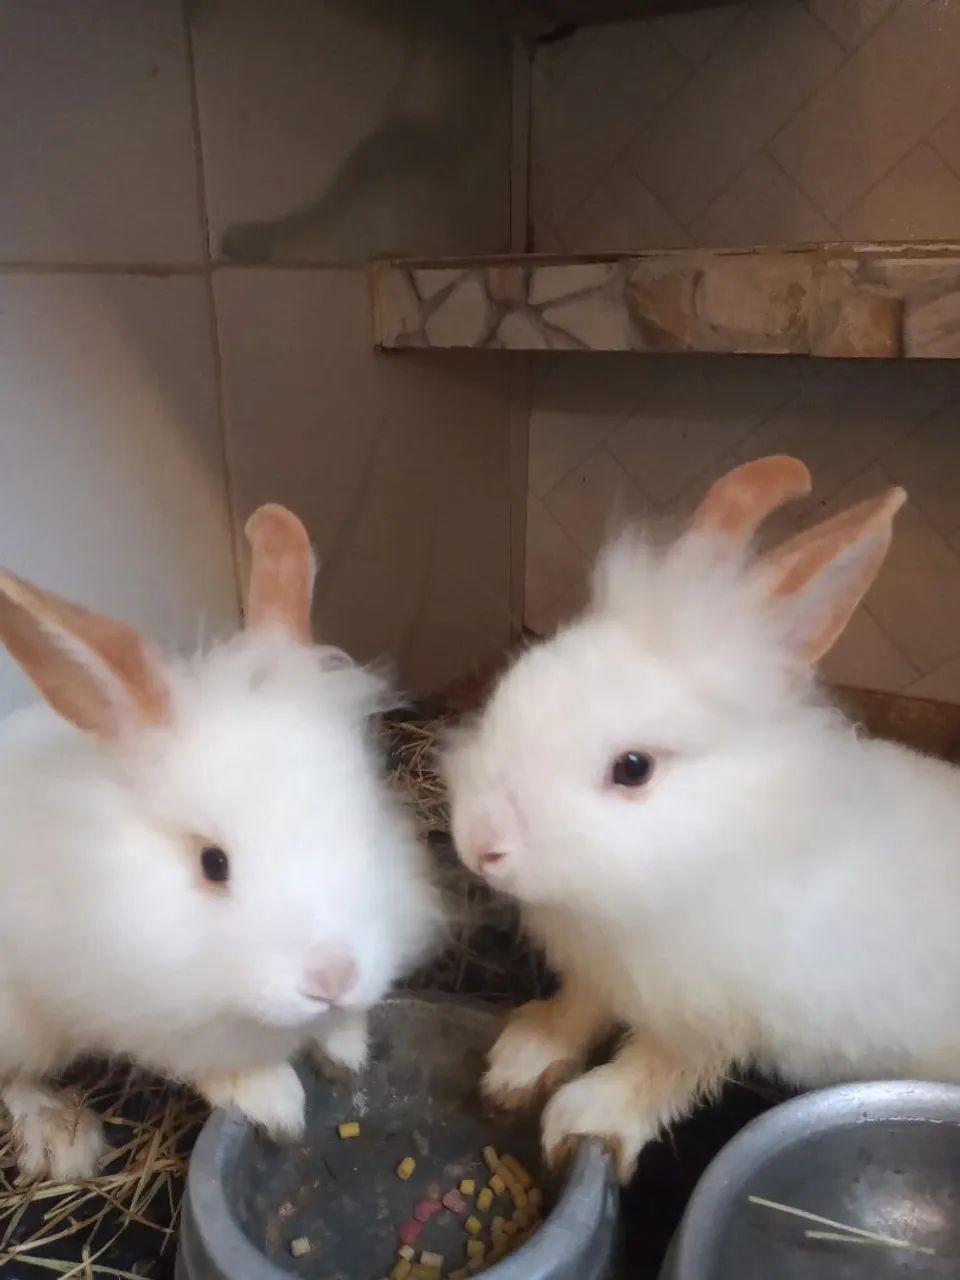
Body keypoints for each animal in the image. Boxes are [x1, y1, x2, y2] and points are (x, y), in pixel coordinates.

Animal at [0, 504, 441, 1181]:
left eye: (366, 818)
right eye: (213, 864)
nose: (333, 978)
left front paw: (346, 1048)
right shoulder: (143, 1008)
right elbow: (216, 1061)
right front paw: (276, 1103)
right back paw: (59, 1135)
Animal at [444, 454, 960, 1183]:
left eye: (633, 768)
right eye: (514, 687)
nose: (479, 843)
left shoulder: (709, 1012)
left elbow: (662, 1068)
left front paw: (588, 1115)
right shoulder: (606, 971)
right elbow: (579, 1008)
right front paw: (524, 1056)